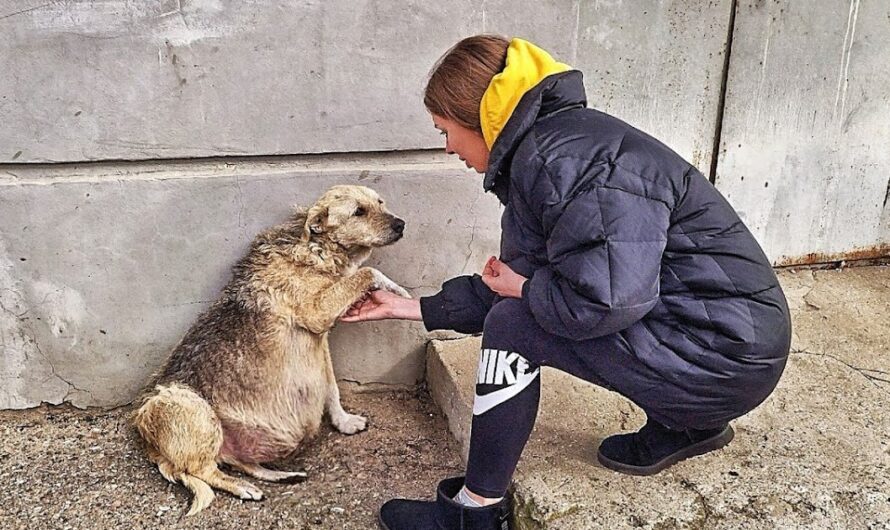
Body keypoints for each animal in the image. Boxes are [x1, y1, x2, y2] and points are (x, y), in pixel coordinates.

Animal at [130, 185, 408, 512]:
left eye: (380, 203)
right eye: (358, 212)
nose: (401, 224)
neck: (315, 248)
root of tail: (149, 442)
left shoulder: (321, 342)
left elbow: (331, 387)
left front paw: (344, 421)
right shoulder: (317, 313)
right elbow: (368, 273)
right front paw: (398, 290)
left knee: (239, 463)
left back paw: (280, 475)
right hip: (187, 406)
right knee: (202, 471)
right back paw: (242, 487)